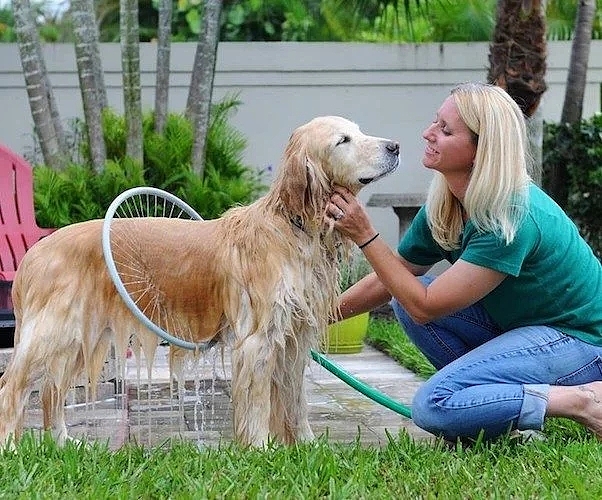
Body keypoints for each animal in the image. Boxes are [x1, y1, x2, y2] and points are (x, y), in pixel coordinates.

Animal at [0, 115, 398, 448]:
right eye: (343, 140)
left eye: (358, 130)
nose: (395, 146)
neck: (293, 225)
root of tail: (36, 251)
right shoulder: (257, 340)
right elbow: (257, 405)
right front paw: (260, 450)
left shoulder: (293, 338)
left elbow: (295, 401)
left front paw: (307, 446)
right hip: (55, 333)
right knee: (12, 387)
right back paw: (11, 447)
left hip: (83, 339)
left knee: (51, 392)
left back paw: (64, 443)